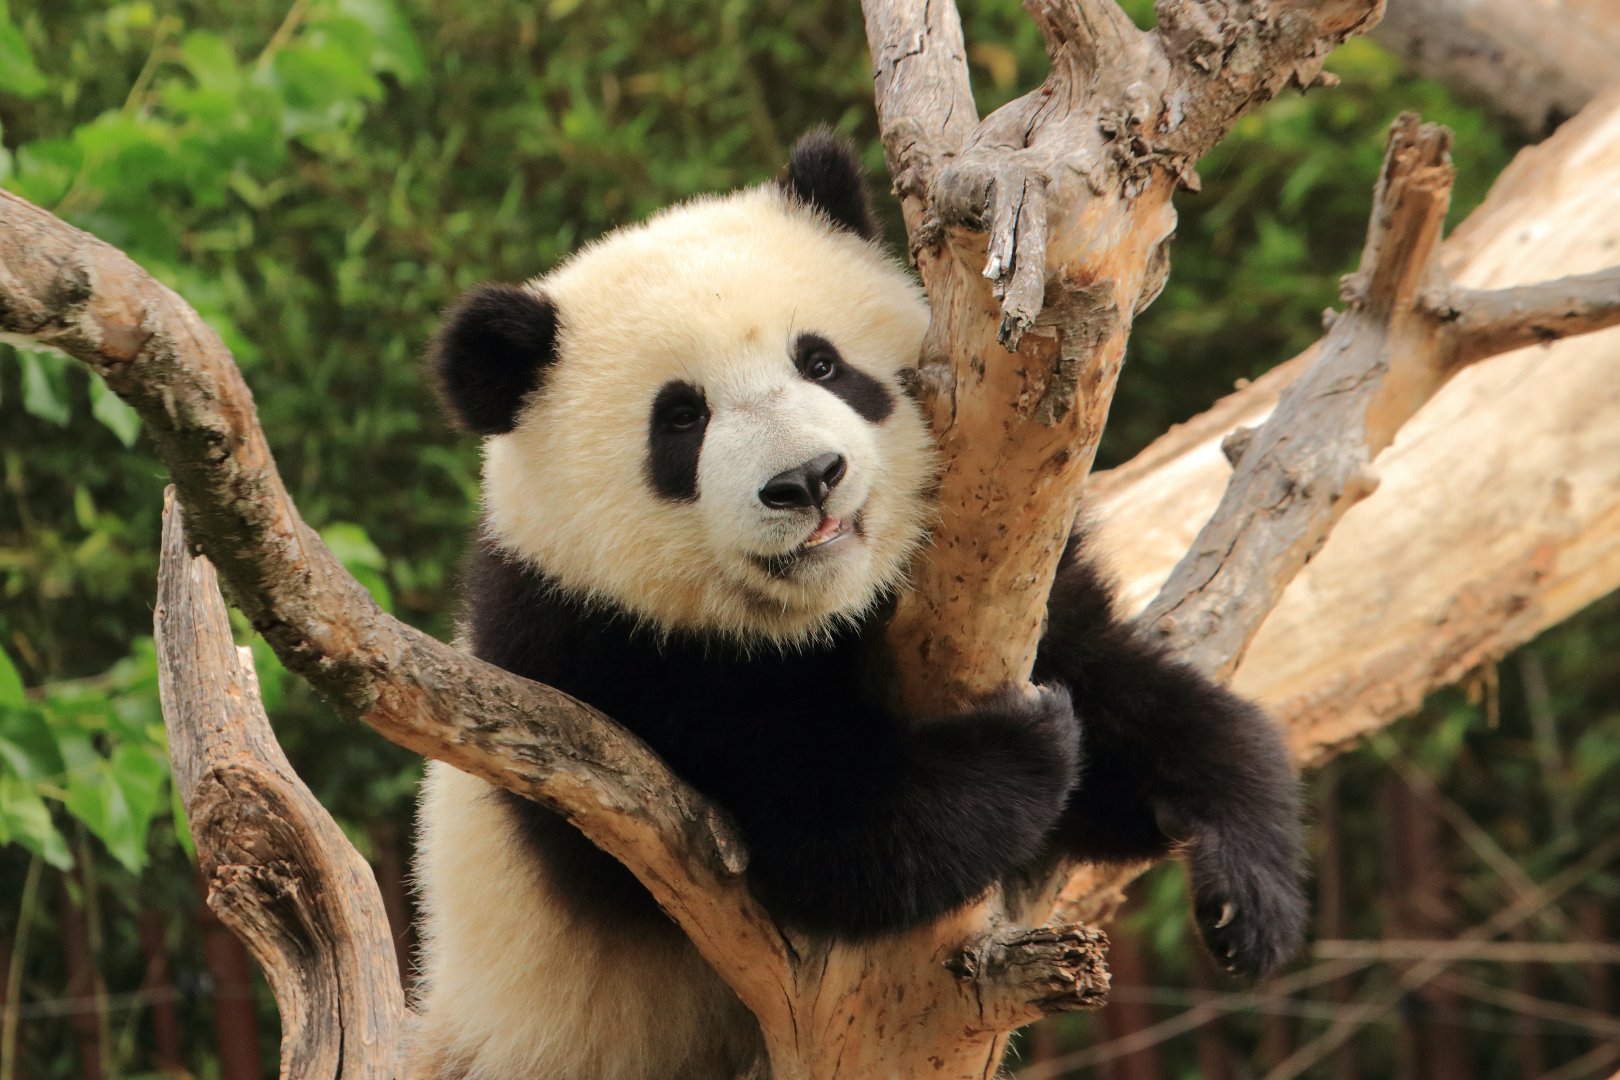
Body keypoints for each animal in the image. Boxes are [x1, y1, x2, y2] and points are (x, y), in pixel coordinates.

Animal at [412, 132, 1306, 1080]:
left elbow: (1122, 701)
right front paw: (1026, 746)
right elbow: (824, 833)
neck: (819, 615)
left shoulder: (1022, 582)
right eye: (681, 418)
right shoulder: (594, 661)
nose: (807, 480)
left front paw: (1247, 882)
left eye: (821, 362)